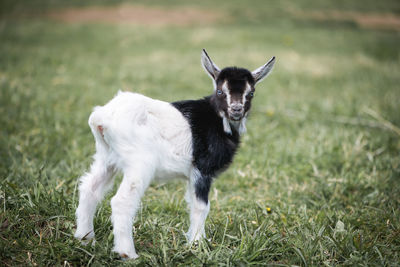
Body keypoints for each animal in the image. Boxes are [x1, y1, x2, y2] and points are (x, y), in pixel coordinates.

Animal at [75, 48, 276, 260]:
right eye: (221, 91)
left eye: (251, 93)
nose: (236, 109)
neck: (217, 119)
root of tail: (102, 117)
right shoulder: (201, 169)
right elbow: (201, 206)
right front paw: (198, 244)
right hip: (139, 163)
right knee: (122, 201)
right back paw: (128, 253)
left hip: (106, 157)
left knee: (90, 188)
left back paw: (85, 239)